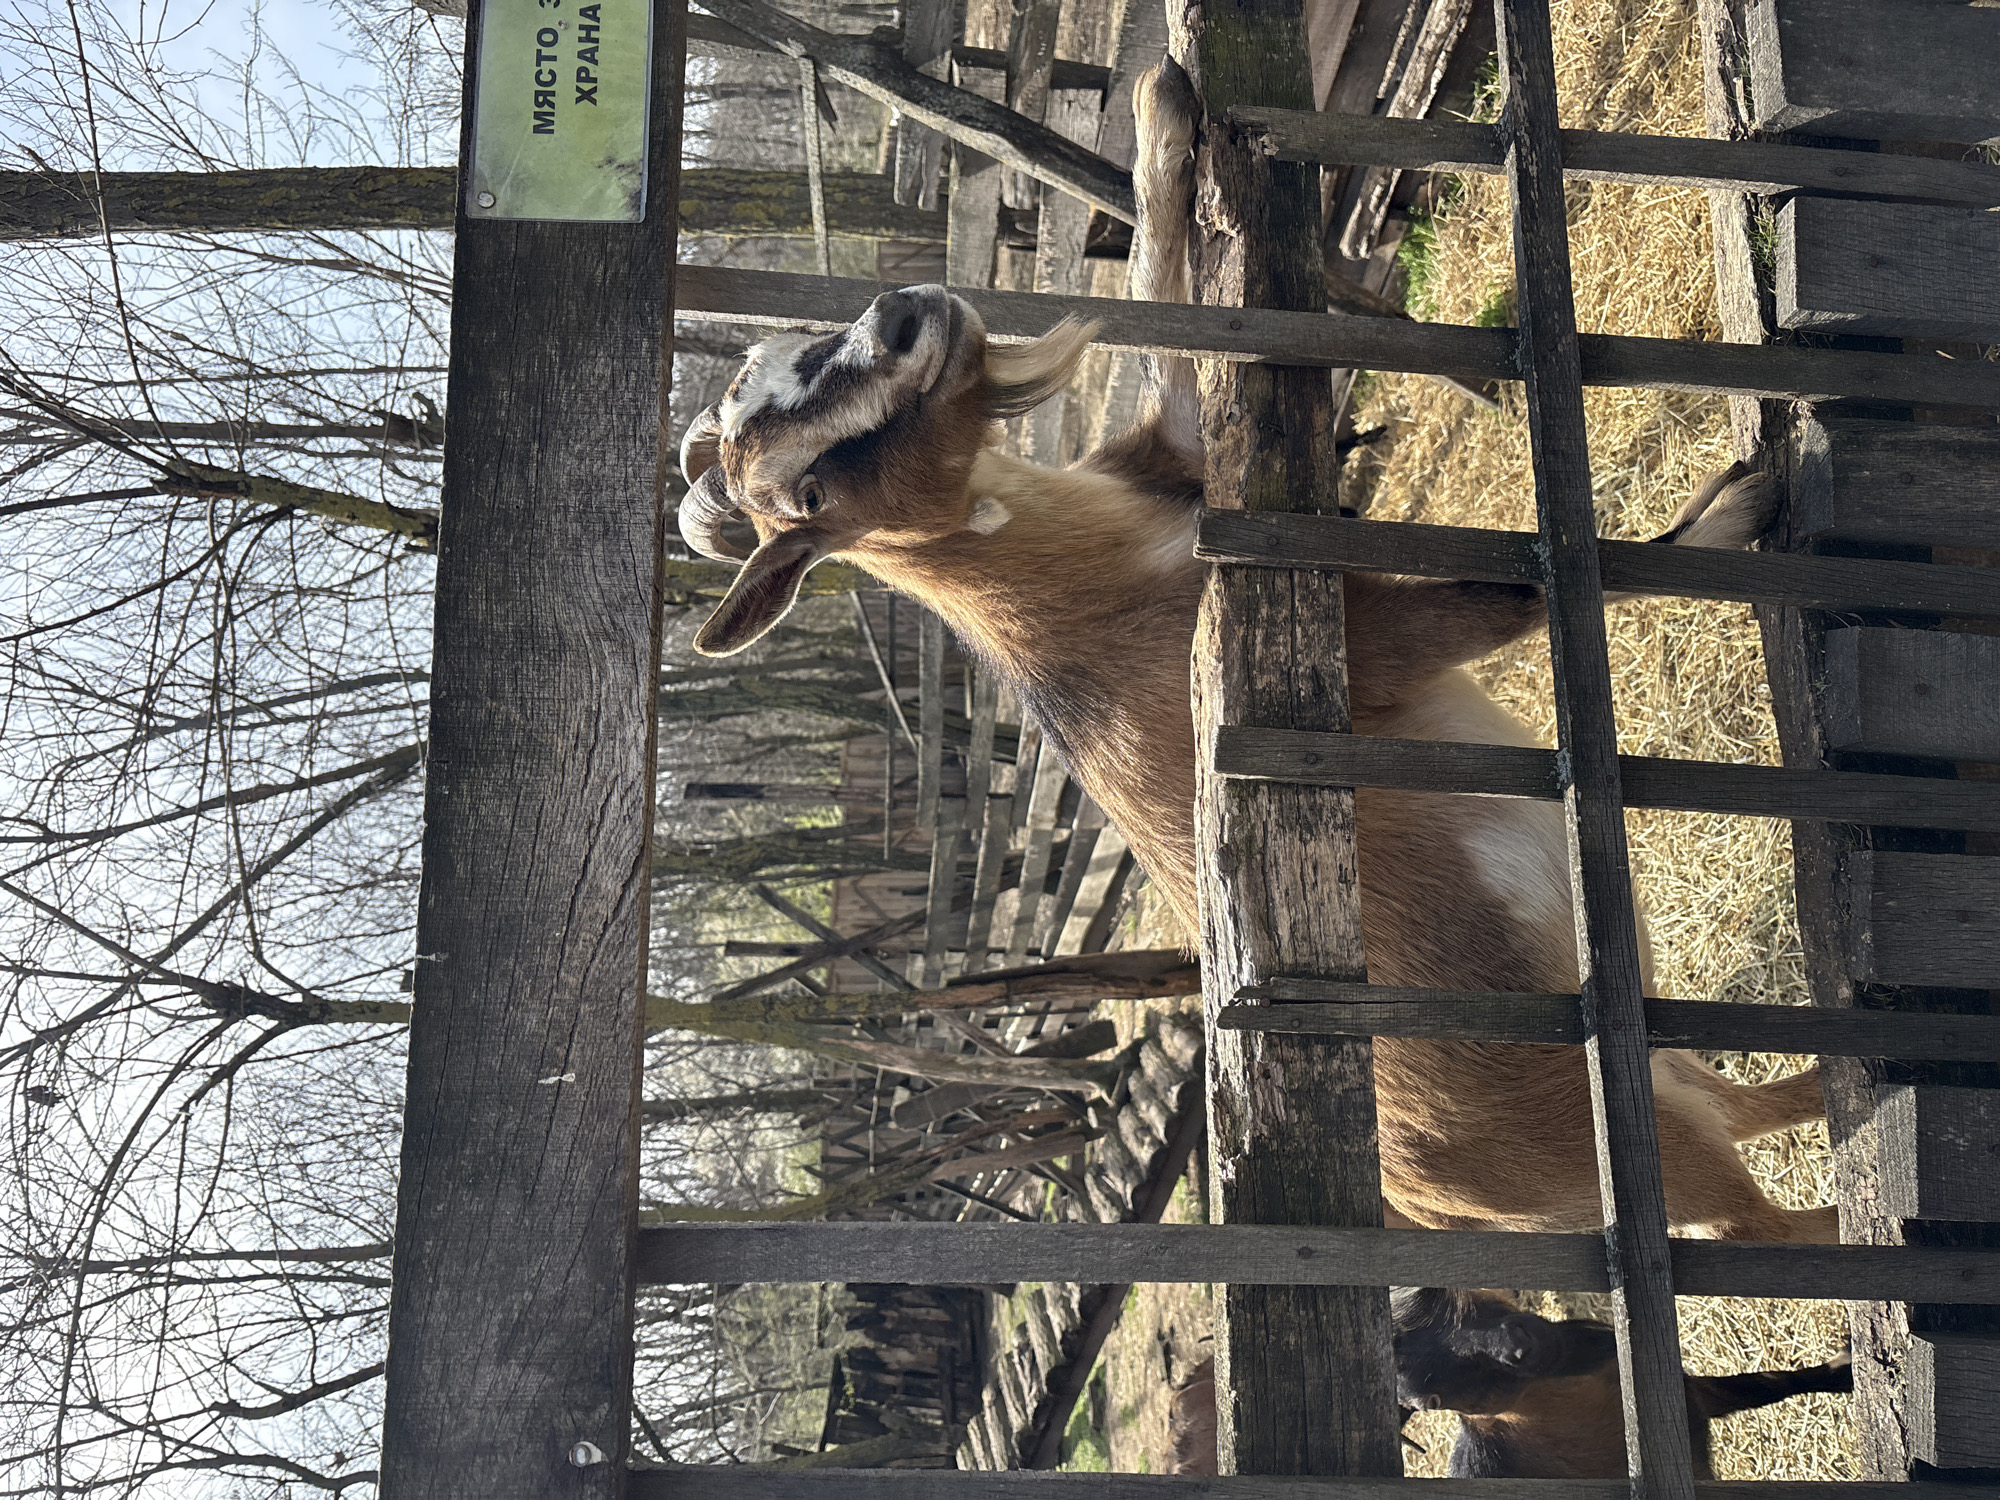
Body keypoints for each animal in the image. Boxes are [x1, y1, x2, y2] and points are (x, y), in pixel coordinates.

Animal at [675, 56, 1834, 1242]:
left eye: (780, 358)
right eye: (807, 496)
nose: (903, 315)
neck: (1079, 596)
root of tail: (1440, 1209)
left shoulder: (1187, 456)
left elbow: (1172, 310)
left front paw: (1163, 109)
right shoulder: (1356, 656)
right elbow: (1506, 593)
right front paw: (1731, 518)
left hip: (1672, 1084)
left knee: (1757, 1105)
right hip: (1644, 1147)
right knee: (1782, 1221)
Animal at [1168, 1291, 1852, 1478]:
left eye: (1433, 1297)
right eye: (1427, 1400)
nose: (1518, 1348)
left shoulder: (1691, 1396)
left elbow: (1776, 1383)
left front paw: (1851, 1368)